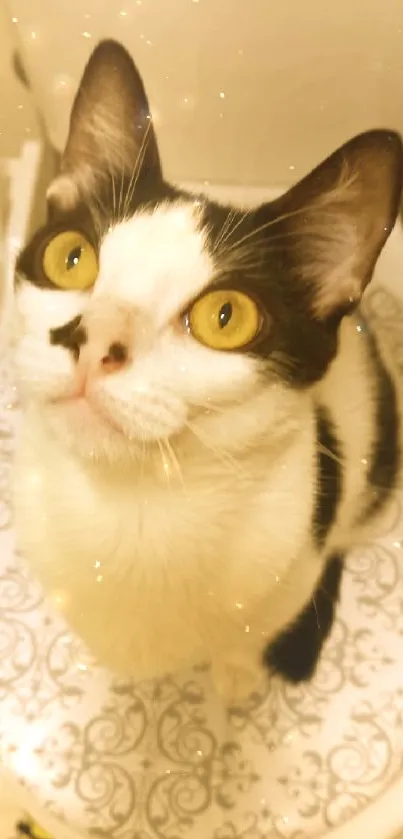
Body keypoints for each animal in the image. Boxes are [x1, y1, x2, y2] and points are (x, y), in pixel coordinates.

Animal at [11, 41, 403, 704]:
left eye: (226, 316)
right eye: (71, 257)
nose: (91, 338)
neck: (136, 508)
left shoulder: (299, 549)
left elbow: (259, 624)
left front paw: (239, 668)